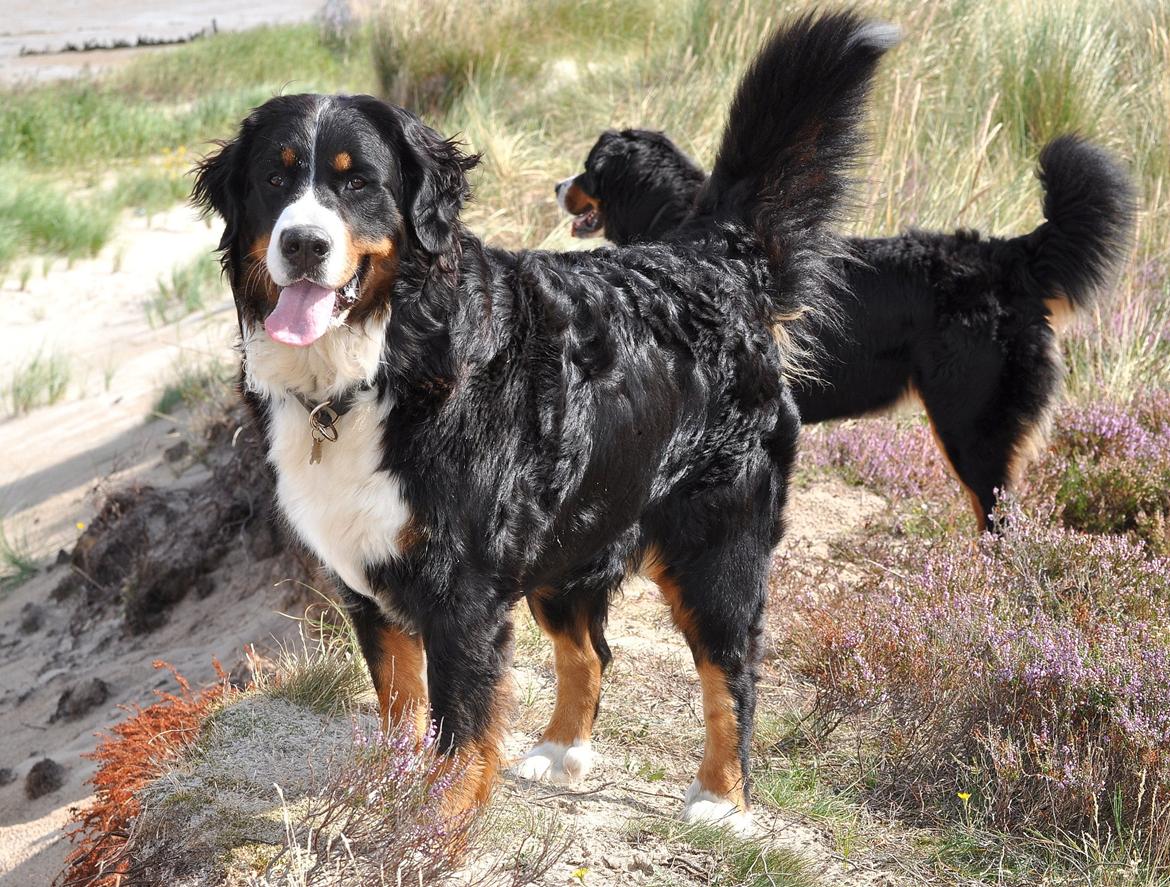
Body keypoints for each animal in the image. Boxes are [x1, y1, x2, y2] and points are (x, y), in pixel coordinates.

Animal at [196, 12, 898, 828]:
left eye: (356, 181)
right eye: (275, 179)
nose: (303, 243)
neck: (382, 363)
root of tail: (711, 258)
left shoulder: (462, 588)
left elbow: (459, 725)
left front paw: (437, 820)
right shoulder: (368, 579)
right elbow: (400, 704)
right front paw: (390, 791)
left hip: (715, 543)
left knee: (731, 670)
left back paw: (721, 795)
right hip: (570, 537)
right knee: (590, 652)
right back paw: (561, 749)